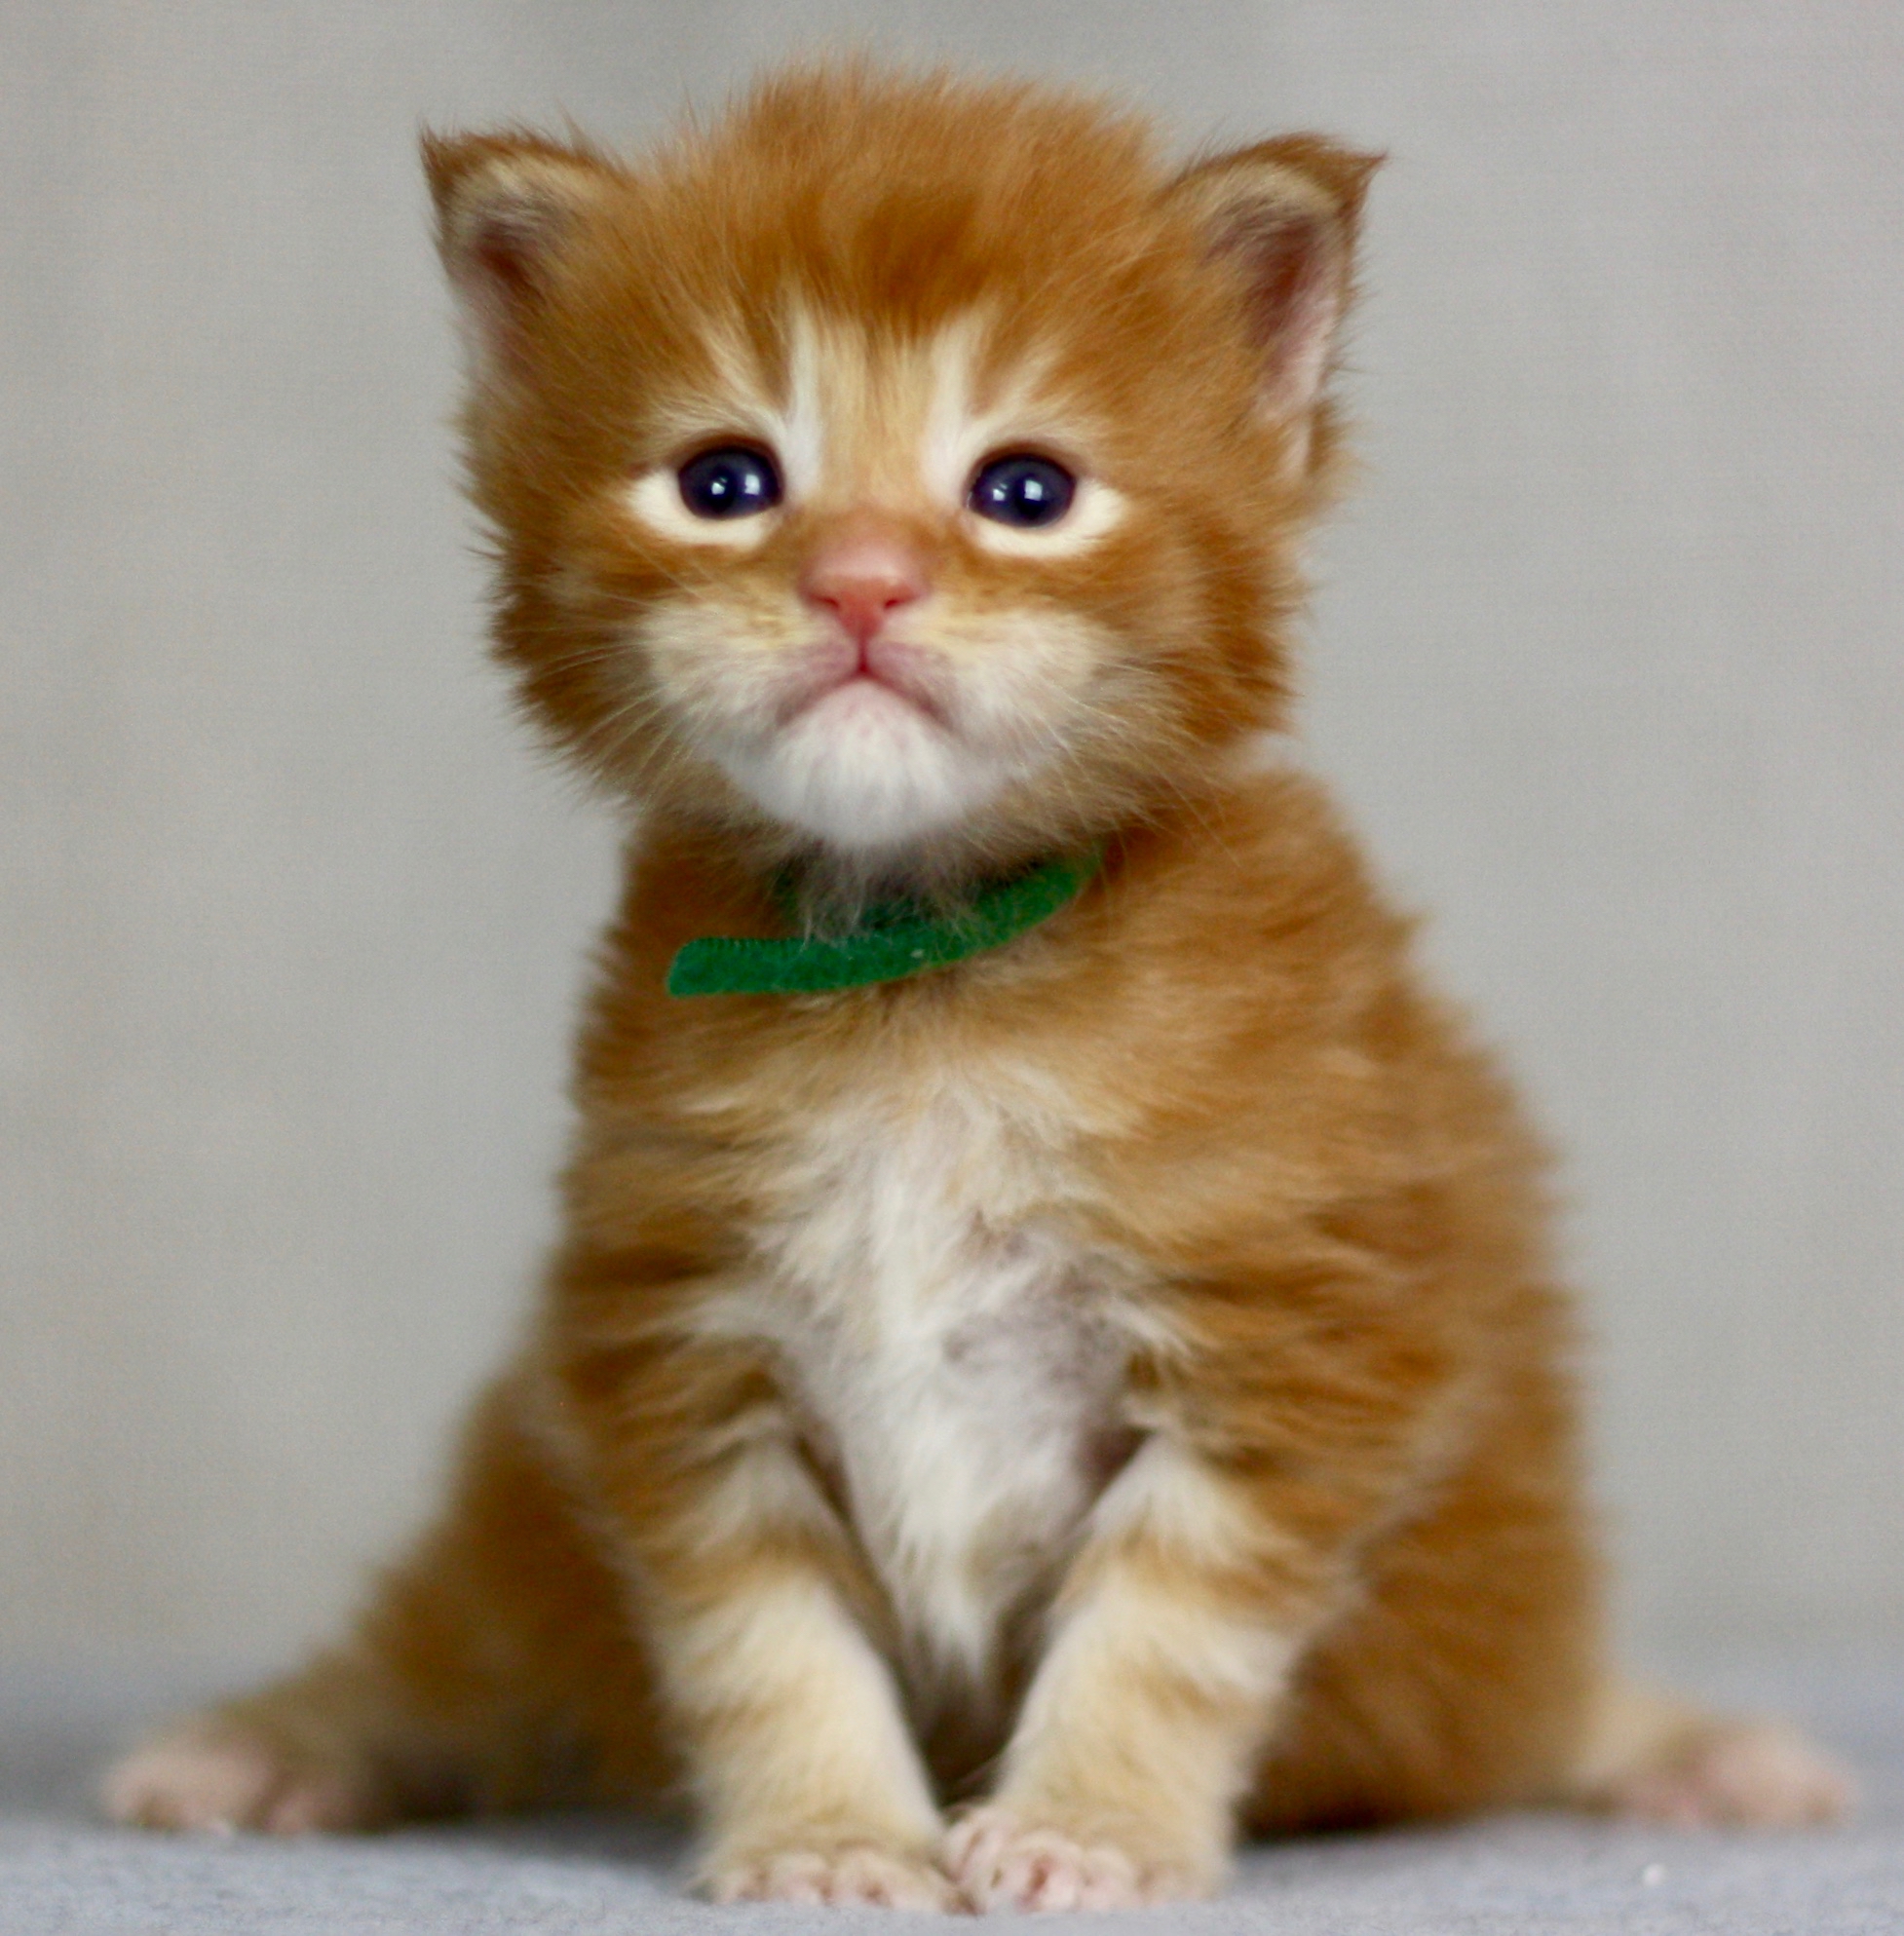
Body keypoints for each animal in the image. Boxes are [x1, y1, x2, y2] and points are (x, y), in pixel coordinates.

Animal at [101, 65, 1851, 1912]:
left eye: (1023, 490)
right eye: (726, 480)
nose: (861, 579)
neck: (916, 972)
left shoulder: (1289, 1327)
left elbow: (1161, 1631)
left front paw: (1088, 1825)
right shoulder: (671, 1338)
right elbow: (761, 1637)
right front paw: (825, 1834)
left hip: (1493, 1608)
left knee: (1527, 1687)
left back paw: (1678, 1743)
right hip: (520, 1509)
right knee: (450, 1643)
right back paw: (268, 1746)